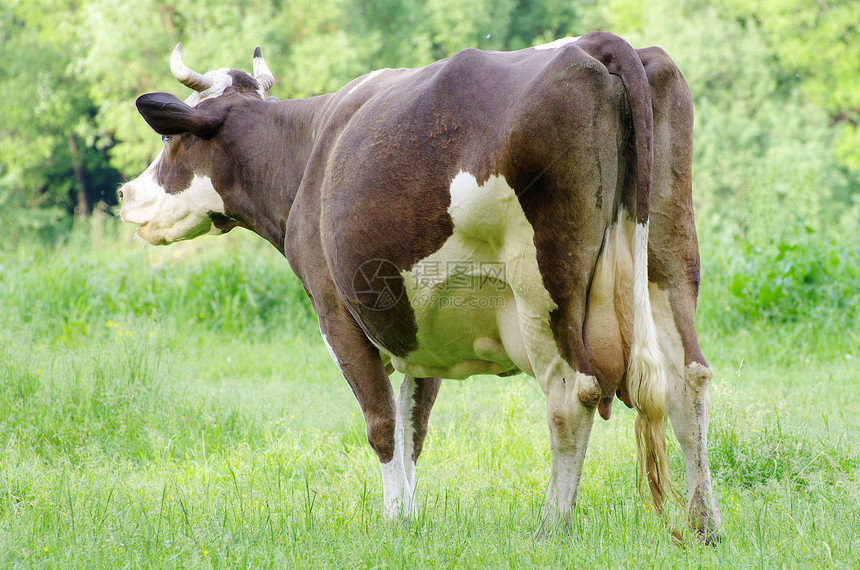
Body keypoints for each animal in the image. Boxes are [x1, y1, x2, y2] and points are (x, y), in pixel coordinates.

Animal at [117, 32, 724, 540]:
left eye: (172, 139)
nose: (124, 193)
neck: (304, 152)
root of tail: (599, 42)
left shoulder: (337, 314)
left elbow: (384, 424)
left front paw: (392, 518)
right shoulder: (421, 328)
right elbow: (415, 425)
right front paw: (409, 514)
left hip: (544, 286)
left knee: (573, 393)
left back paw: (552, 525)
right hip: (669, 258)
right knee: (686, 379)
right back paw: (705, 524)